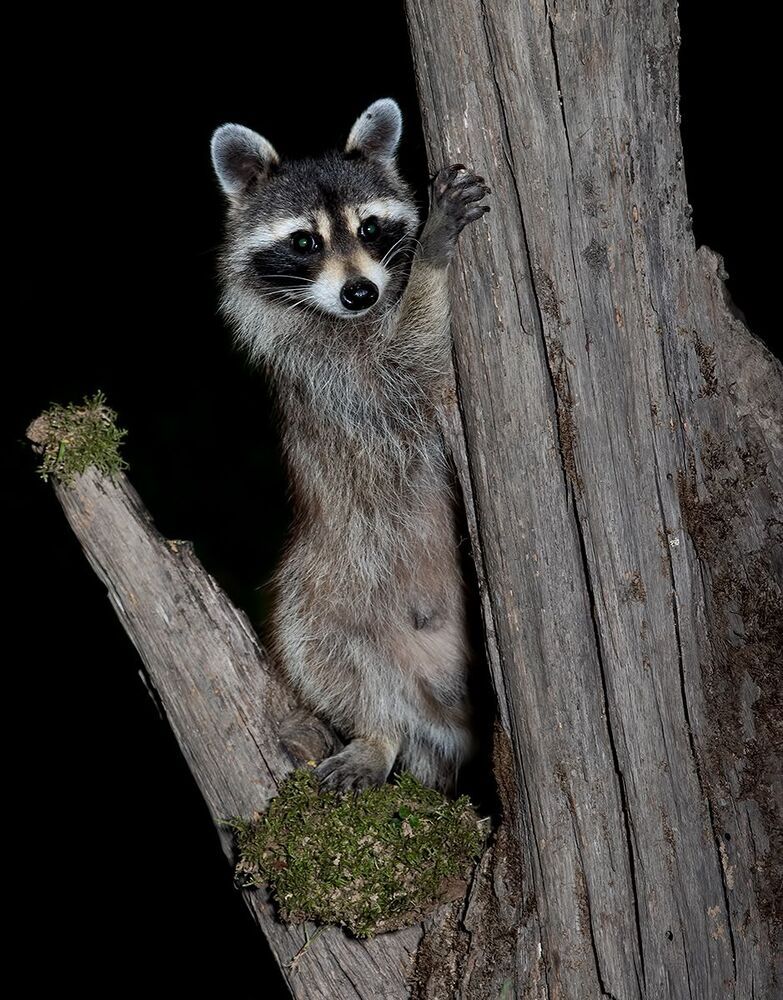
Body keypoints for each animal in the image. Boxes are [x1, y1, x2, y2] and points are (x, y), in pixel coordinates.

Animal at [211, 99, 490, 792]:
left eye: (369, 228)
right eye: (304, 242)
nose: (360, 291)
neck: (352, 316)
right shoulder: (328, 372)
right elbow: (404, 366)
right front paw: (433, 254)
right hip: (325, 580)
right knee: (318, 647)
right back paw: (379, 731)